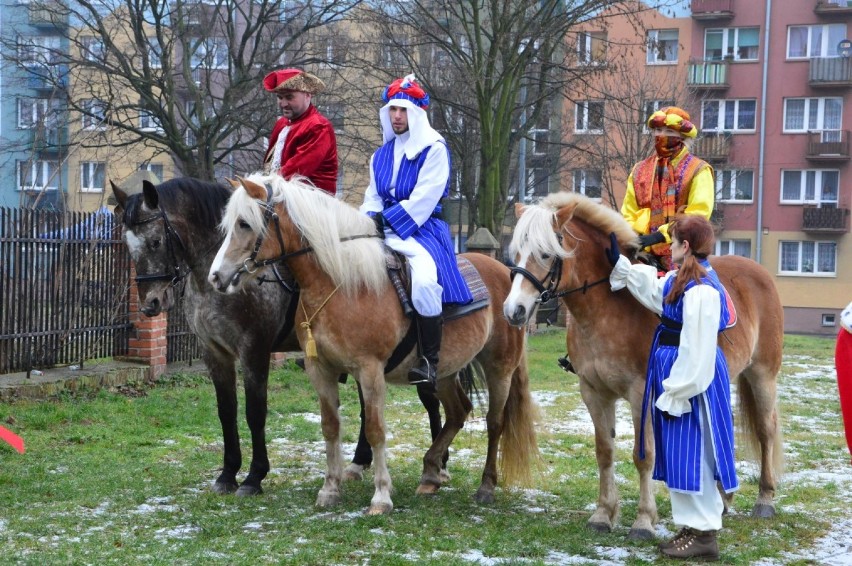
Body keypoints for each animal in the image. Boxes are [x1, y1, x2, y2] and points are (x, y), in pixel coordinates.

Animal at [113, 180, 450, 500]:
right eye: (127, 246)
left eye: (156, 241)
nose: (151, 304)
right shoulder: (214, 353)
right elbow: (226, 411)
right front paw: (227, 473)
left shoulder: (254, 350)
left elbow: (255, 411)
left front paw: (254, 476)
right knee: (369, 407)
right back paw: (359, 462)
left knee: (429, 399)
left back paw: (438, 464)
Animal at [208, 173, 540, 516]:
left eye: (244, 224)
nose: (216, 277)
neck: (342, 284)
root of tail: (506, 273)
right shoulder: (320, 369)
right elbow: (330, 427)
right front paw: (330, 488)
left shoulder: (370, 371)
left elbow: (375, 429)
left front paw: (381, 496)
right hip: (446, 371)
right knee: (458, 412)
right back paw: (431, 473)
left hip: (499, 368)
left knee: (494, 422)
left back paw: (485, 486)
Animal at [502, 194, 784, 540]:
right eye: (515, 252)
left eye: (544, 253)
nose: (513, 310)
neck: (609, 306)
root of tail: (758, 272)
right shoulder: (593, 392)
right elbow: (604, 451)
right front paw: (603, 514)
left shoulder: (641, 393)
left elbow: (645, 456)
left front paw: (644, 521)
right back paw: (722, 499)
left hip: (763, 375)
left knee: (766, 430)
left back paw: (765, 499)